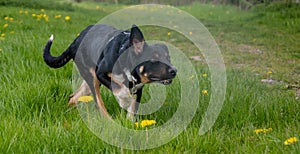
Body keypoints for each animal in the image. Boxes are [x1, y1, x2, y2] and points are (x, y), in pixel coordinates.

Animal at [43, 24, 177, 119]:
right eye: (154, 59)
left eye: (168, 58)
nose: (174, 71)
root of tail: (76, 41)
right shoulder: (101, 74)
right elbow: (120, 89)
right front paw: (124, 99)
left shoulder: (138, 88)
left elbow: (133, 109)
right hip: (92, 78)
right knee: (99, 103)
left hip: (89, 82)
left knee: (73, 97)